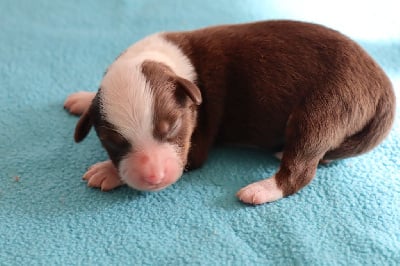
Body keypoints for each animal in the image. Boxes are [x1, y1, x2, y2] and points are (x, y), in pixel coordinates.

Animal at [64, 20, 396, 205]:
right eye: (114, 141)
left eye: (172, 127)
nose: (154, 176)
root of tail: (382, 84)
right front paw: (84, 98)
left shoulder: (194, 144)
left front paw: (106, 171)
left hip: (325, 107)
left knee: (301, 168)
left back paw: (261, 189)